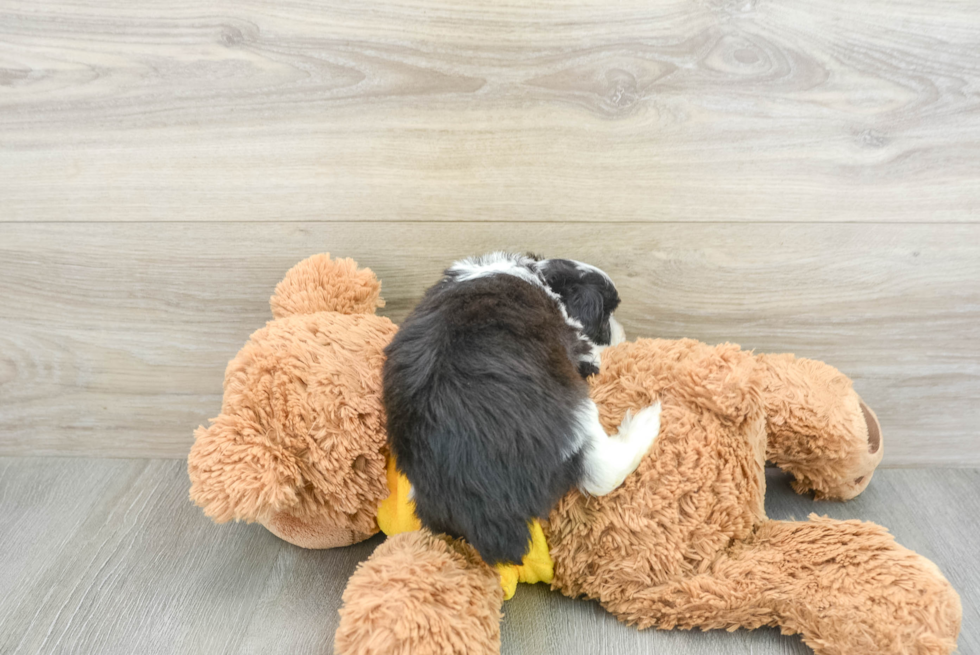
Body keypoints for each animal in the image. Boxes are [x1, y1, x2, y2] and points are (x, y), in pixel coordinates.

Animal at [380, 254, 660, 568]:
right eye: (605, 314)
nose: (623, 332)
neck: (542, 278)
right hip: (575, 410)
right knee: (602, 471)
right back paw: (646, 423)